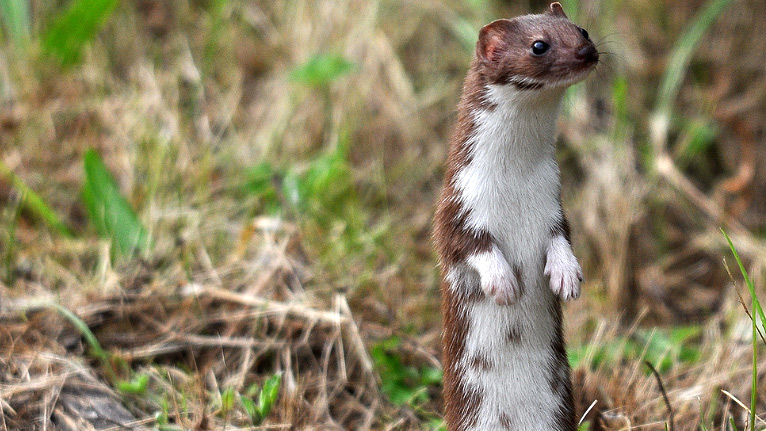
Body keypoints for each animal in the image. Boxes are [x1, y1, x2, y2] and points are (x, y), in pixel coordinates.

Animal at [433, 3, 598, 430]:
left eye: (582, 30)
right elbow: (467, 245)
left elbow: (561, 238)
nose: (586, 52)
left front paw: (566, 276)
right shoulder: (459, 202)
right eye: (539, 45)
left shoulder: (553, 200)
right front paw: (503, 282)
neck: (515, 180)